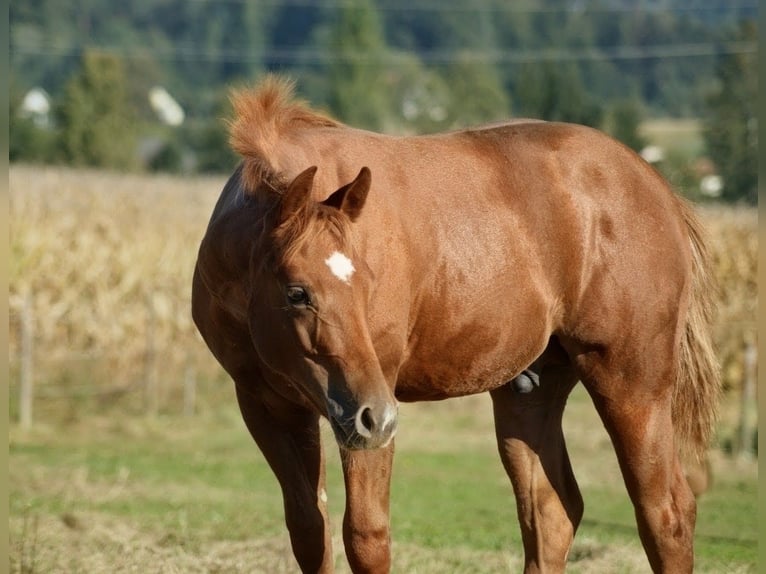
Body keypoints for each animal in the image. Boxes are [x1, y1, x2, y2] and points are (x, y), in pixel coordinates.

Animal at [191, 76, 719, 573]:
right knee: (553, 513)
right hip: (529, 391)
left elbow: (366, 537)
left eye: (369, 284)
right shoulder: (269, 405)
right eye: (297, 293)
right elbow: (309, 533)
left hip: (632, 384)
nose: (377, 416)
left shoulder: (366, 408)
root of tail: (657, 186)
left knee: (666, 513)